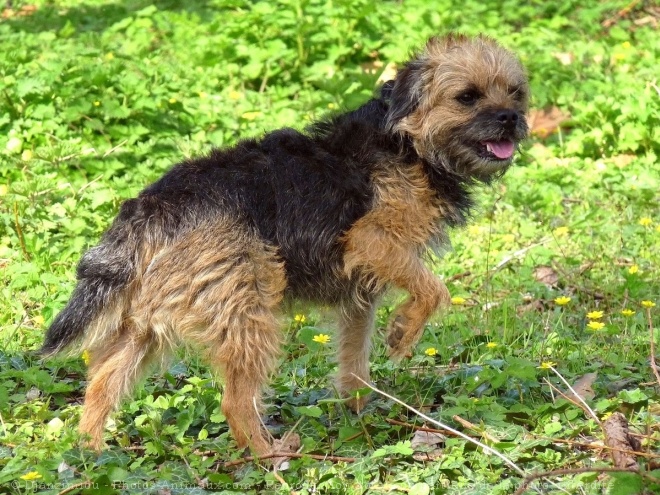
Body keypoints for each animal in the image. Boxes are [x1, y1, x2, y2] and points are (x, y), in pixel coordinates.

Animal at [41, 33, 528, 456]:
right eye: (467, 96)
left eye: (516, 93)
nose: (510, 118)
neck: (407, 141)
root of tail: (155, 206)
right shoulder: (371, 241)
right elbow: (433, 289)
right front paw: (404, 330)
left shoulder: (360, 293)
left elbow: (354, 362)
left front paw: (358, 416)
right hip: (247, 315)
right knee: (235, 402)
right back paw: (269, 455)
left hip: (142, 325)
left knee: (101, 384)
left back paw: (90, 453)